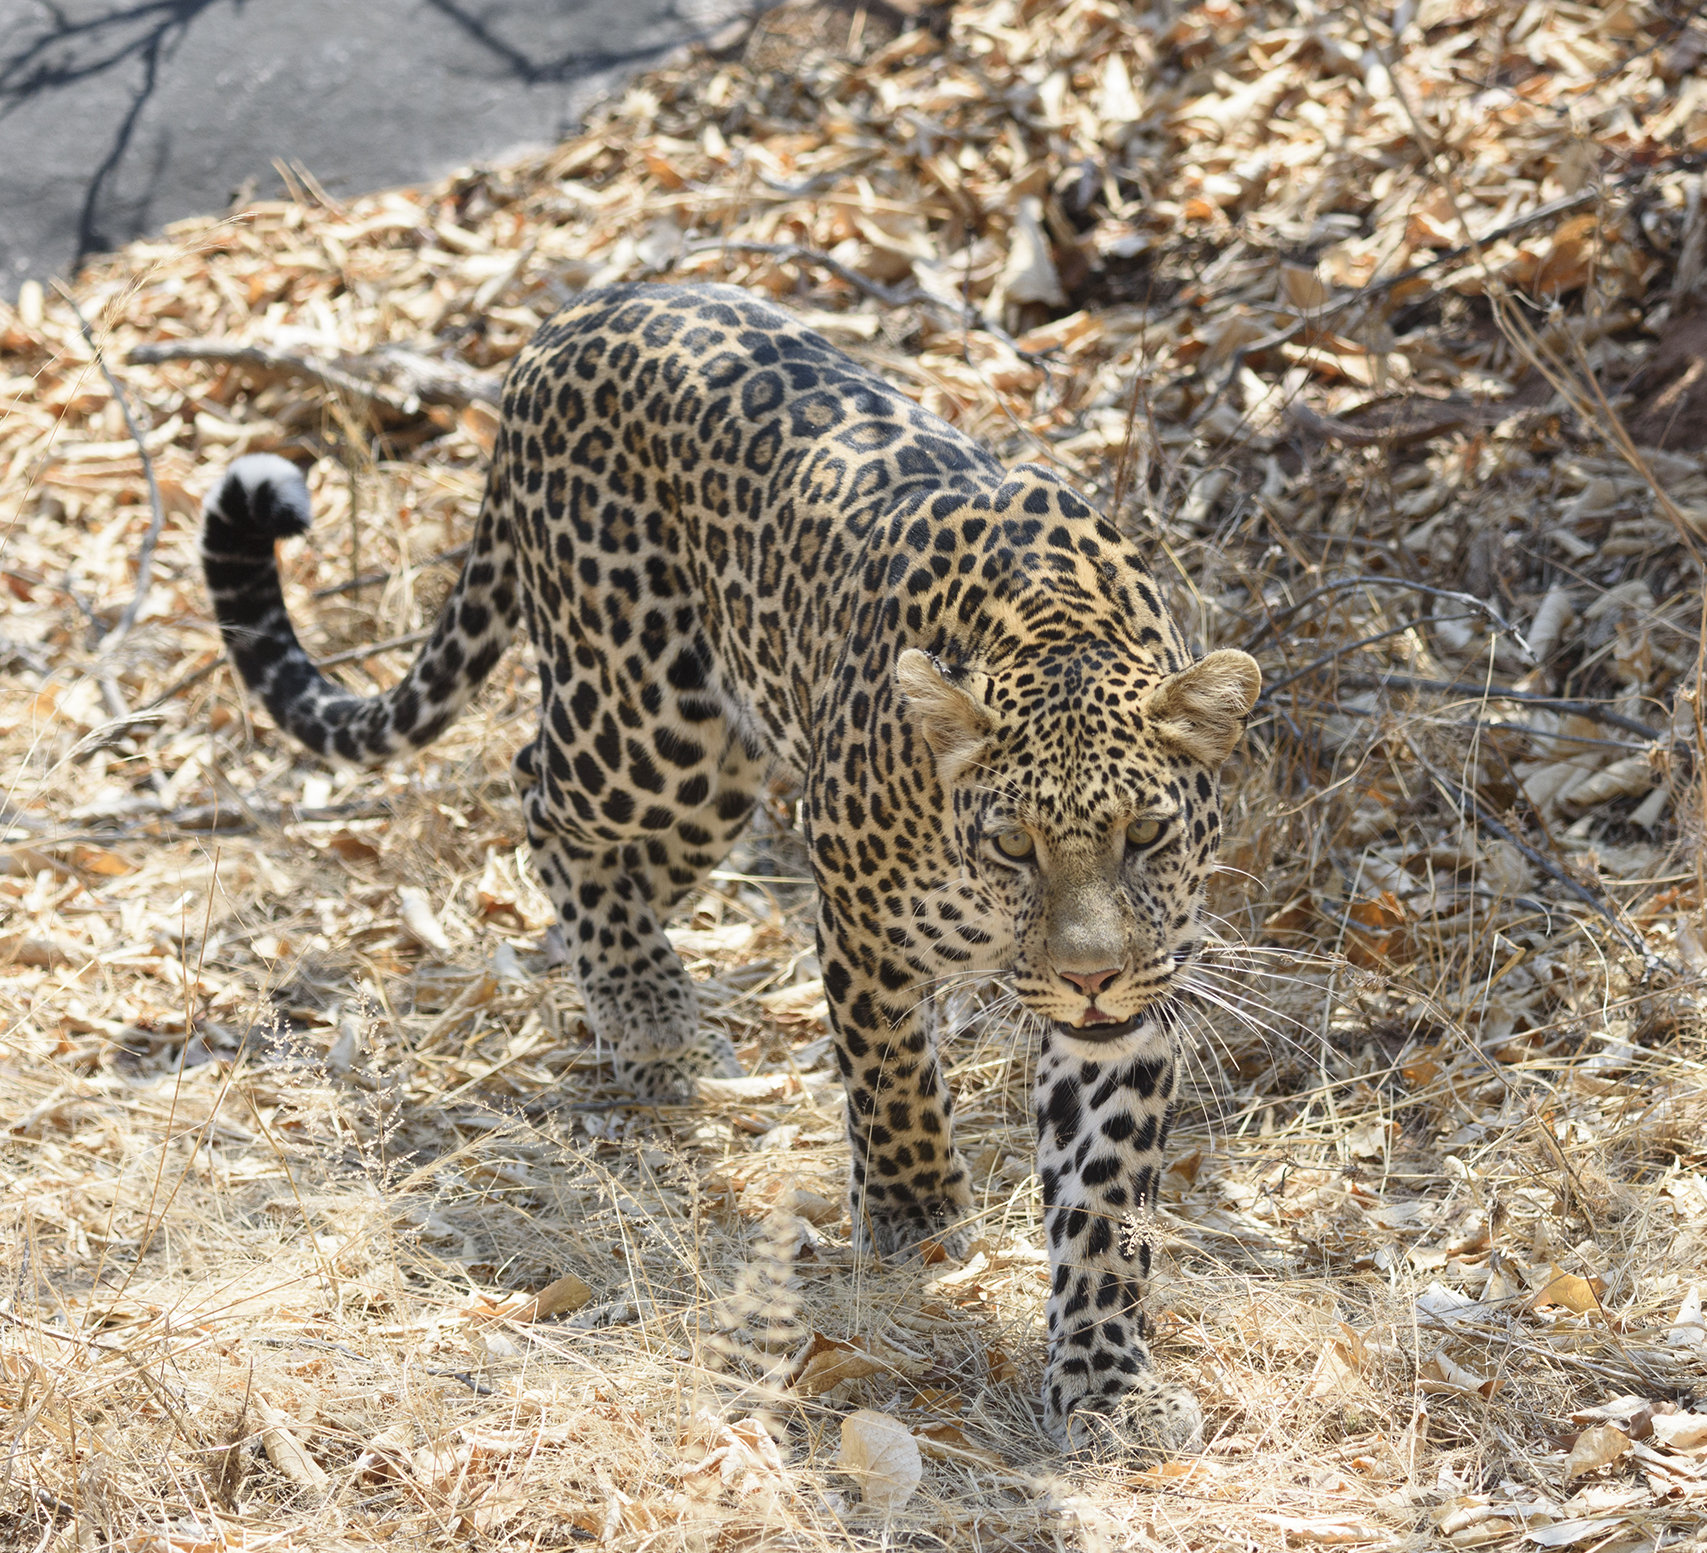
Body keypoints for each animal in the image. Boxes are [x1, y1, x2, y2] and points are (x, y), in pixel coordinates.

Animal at [201, 282, 1261, 1457]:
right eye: (1011, 844)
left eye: (1146, 834)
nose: (1087, 975)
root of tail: (579, 314)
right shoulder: (858, 908)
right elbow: (890, 1076)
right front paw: (918, 1221)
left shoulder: (1132, 1008)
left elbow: (1104, 1199)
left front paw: (1107, 1377)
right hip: (643, 720)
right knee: (537, 791)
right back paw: (647, 1006)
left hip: (717, 767)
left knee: (621, 858)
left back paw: (638, 989)